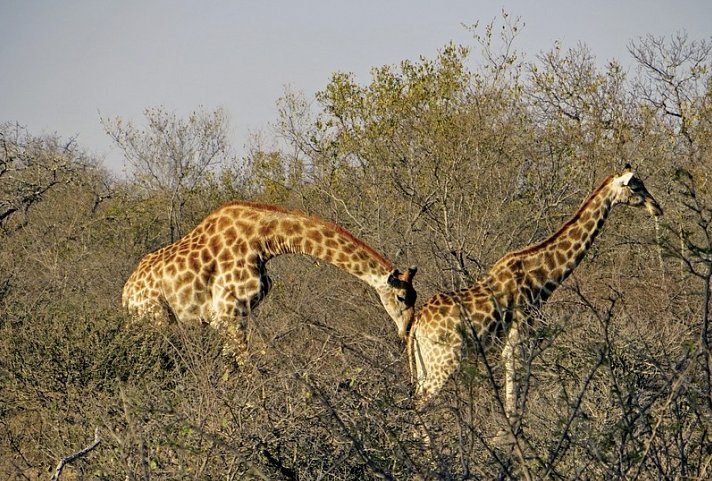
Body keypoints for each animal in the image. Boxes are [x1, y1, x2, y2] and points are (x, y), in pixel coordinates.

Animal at [122, 201, 418, 358]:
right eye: (402, 297)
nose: (406, 332)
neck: (262, 240)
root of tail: (126, 294)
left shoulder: (235, 315)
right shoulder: (227, 314)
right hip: (155, 318)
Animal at [408, 166, 664, 420]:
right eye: (636, 187)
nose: (657, 208)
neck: (541, 278)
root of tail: (417, 324)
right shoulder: (519, 337)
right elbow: (514, 395)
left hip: (424, 365)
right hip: (444, 361)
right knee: (419, 407)